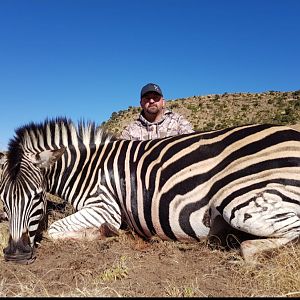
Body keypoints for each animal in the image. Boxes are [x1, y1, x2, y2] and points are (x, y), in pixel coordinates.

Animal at [0, 118, 298, 264]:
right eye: (3, 200)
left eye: (37, 196)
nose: (15, 254)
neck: (89, 168)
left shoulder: (104, 207)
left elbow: (54, 230)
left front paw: (105, 233)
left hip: (236, 199)